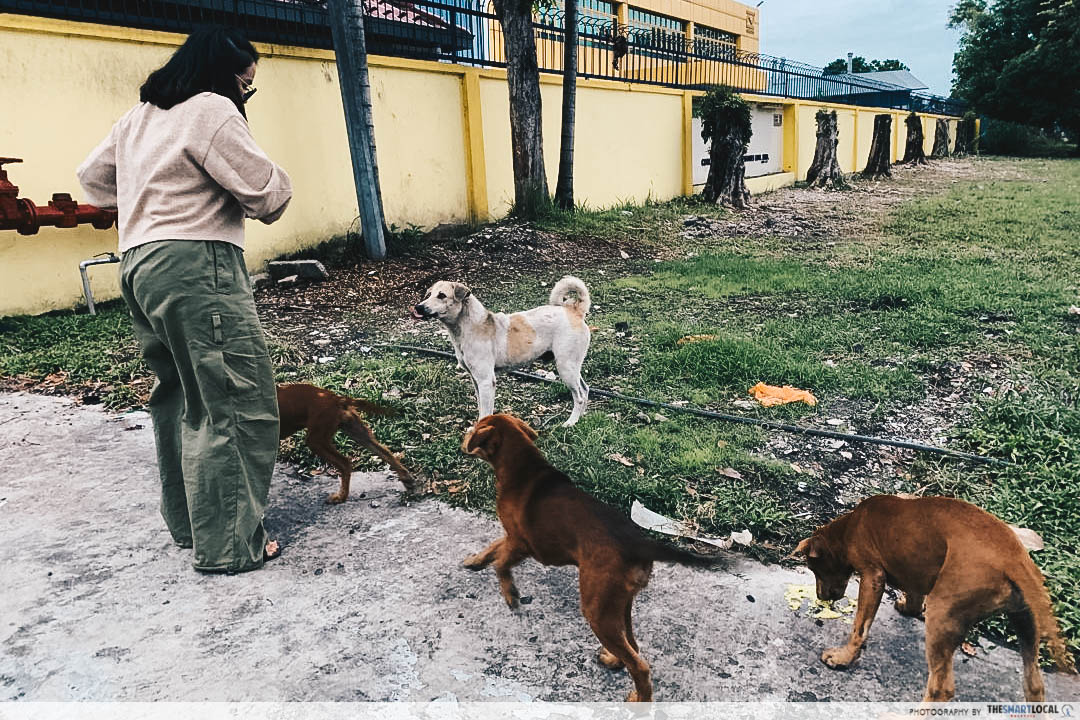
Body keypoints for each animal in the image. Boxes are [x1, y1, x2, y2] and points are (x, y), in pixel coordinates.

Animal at [276, 386, 414, 505]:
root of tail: (336, 398)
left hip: (316, 439)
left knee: (345, 462)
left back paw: (341, 497)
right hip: (355, 430)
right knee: (384, 451)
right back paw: (407, 478)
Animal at [414, 274, 600, 423]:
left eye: (442, 295)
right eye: (429, 294)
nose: (418, 307)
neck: (469, 326)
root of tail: (574, 310)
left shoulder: (486, 381)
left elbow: (486, 412)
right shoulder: (476, 380)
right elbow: (481, 407)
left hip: (566, 367)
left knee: (579, 397)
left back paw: (571, 422)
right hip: (572, 367)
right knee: (585, 389)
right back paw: (580, 419)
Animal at [460, 414, 721, 699]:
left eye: (475, 428)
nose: (464, 436)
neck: (524, 467)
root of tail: (639, 543)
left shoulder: (521, 543)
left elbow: (501, 563)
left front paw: (510, 594)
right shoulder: (511, 539)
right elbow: (493, 548)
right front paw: (475, 560)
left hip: (597, 608)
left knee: (640, 666)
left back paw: (640, 699)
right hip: (618, 602)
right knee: (633, 646)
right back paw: (615, 661)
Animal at [794, 496, 1071, 703]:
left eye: (814, 569)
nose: (820, 597)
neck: (850, 526)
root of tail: (1013, 559)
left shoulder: (872, 577)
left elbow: (859, 627)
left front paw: (844, 657)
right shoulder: (914, 571)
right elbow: (914, 595)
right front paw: (908, 607)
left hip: (943, 616)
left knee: (941, 688)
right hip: (1026, 624)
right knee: (1034, 686)